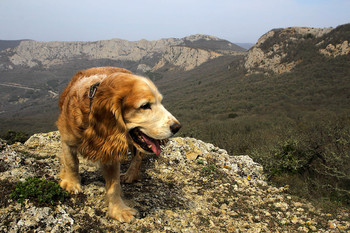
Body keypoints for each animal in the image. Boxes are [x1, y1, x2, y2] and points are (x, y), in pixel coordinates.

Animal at [56, 66, 182, 222]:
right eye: (145, 106)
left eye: (160, 102)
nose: (177, 127)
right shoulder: (67, 139)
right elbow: (71, 163)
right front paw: (72, 183)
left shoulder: (111, 151)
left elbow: (114, 185)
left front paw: (118, 210)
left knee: (138, 156)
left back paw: (130, 175)